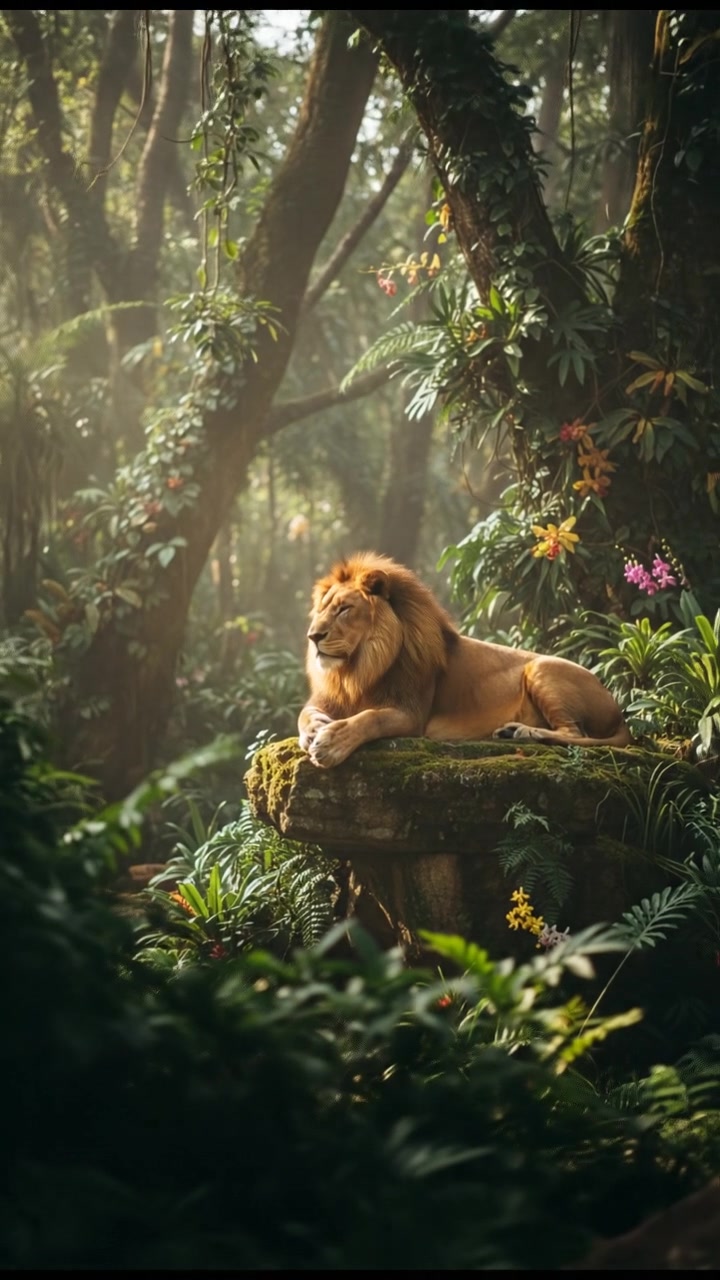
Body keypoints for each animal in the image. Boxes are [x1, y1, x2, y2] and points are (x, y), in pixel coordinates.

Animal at [298, 552, 631, 769]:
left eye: (345, 609)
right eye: (322, 609)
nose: (313, 636)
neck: (358, 668)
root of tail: (620, 714)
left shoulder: (411, 714)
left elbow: (370, 718)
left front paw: (331, 743)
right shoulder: (328, 698)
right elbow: (304, 714)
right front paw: (314, 730)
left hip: (542, 667)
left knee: (574, 733)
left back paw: (526, 732)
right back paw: (511, 731)